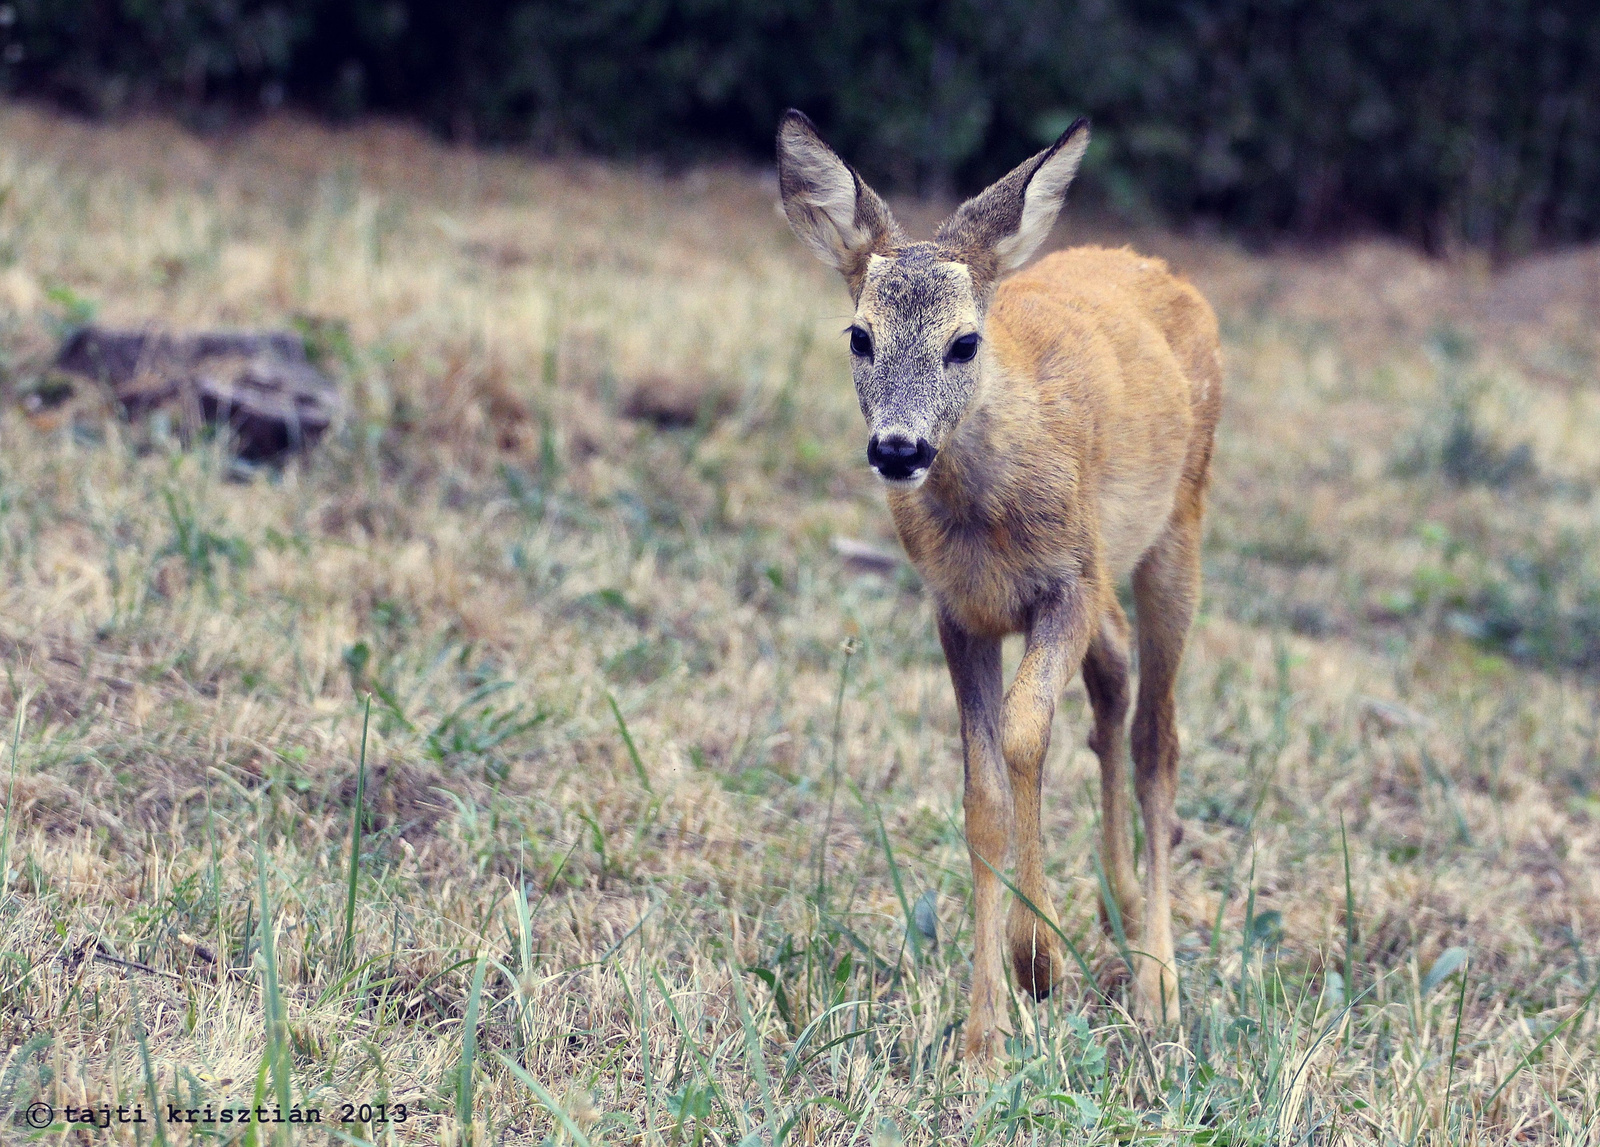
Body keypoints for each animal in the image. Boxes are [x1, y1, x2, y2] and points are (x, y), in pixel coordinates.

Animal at [777, 111, 1222, 1062]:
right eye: (859, 336)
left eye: (964, 342)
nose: (898, 448)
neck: (989, 511)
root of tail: (1160, 268)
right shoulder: (958, 611)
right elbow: (981, 791)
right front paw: (985, 1032)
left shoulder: (1067, 583)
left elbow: (1024, 734)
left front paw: (1038, 959)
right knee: (1116, 677)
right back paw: (1118, 901)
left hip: (1178, 528)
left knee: (1159, 738)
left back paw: (1158, 986)